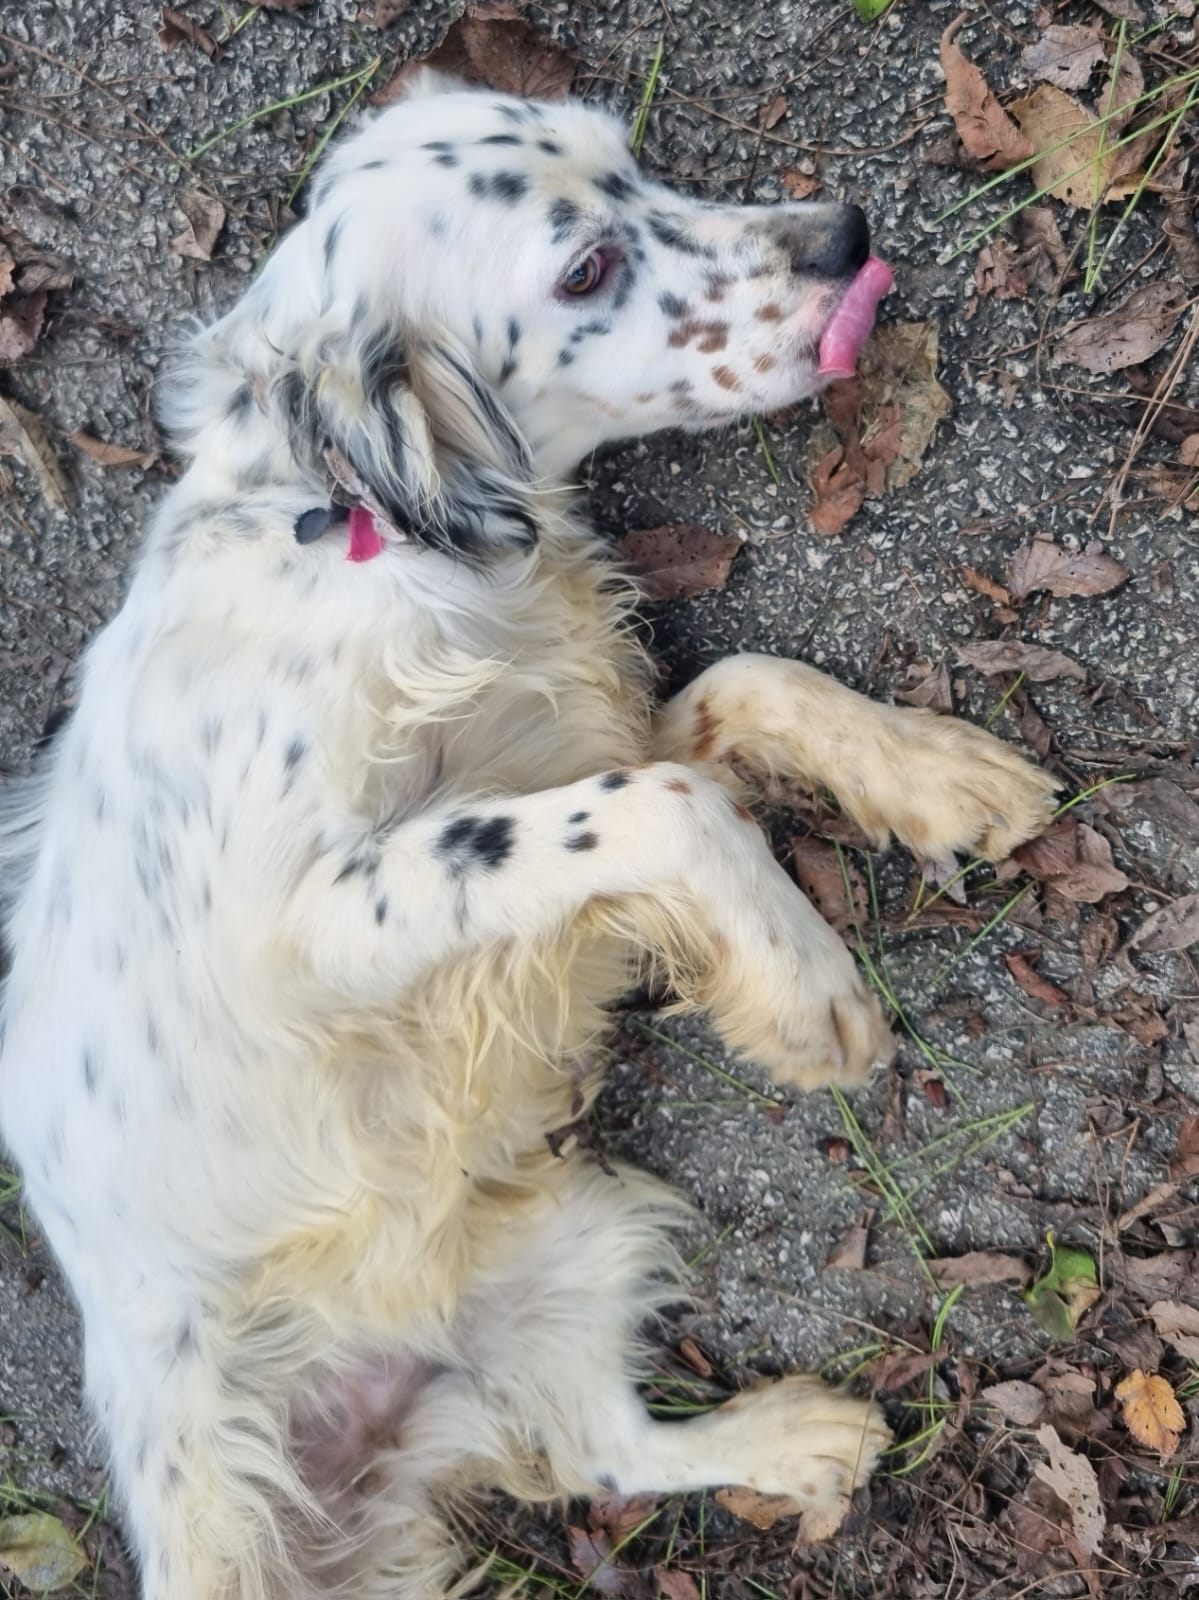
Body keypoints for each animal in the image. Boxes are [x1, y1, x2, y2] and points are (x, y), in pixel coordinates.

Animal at [0, 73, 1057, 1599]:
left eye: (631, 160)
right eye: (585, 268)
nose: (842, 234)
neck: (370, 535)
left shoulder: (588, 734)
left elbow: (748, 683)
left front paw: (938, 774)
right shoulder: (308, 918)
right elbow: (665, 805)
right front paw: (807, 994)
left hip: (573, 1242)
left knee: (599, 1452)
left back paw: (800, 1441)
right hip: (212, 1486)